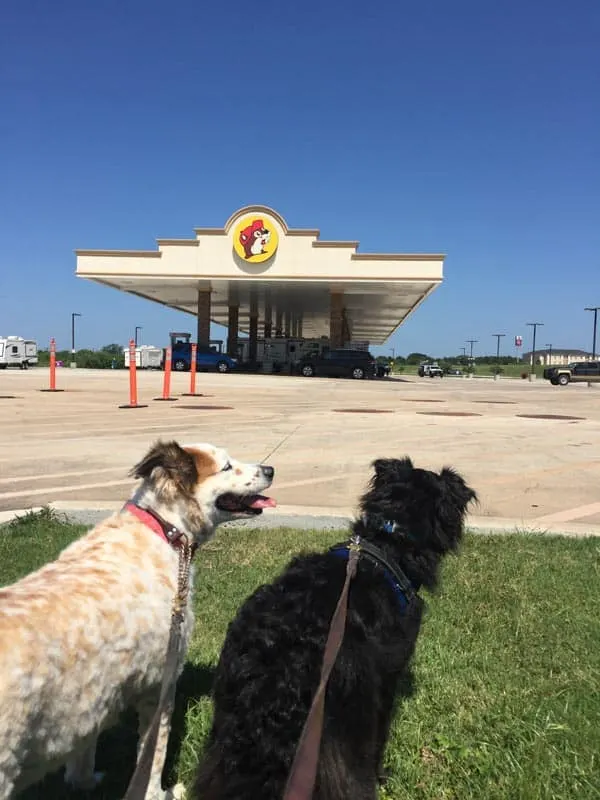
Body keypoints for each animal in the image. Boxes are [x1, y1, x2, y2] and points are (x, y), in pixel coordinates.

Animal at [0, 440, 276, 796]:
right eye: (227, 466)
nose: (270, 469)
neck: (163, 529)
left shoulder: (92, 701)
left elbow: (84, 753)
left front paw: (84, 781)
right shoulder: (159, 684)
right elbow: (153, 756)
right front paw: (162, 793)